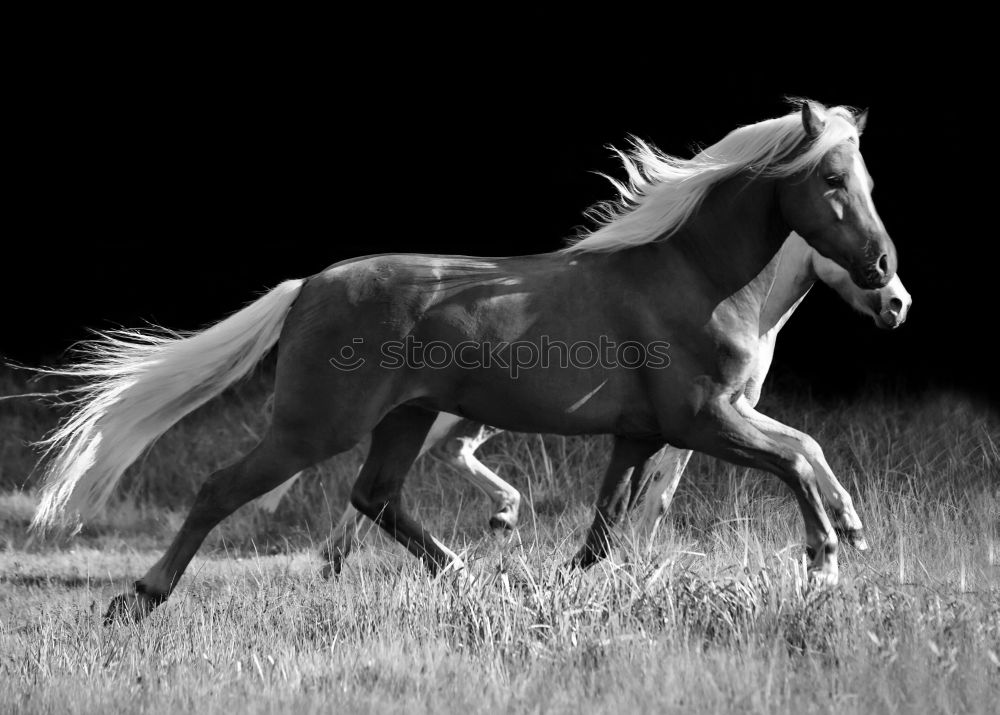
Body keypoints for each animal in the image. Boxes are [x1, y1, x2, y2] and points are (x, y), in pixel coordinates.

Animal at [252, 234, 916, 576]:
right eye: (860, 255)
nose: (898, 304)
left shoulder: (722, 415)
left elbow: (803, 444)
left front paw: (850, 526)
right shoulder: (703, 417)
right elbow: (667, 492)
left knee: (431, 461)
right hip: (447, 411)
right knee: (409, 468)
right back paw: (344, 556)